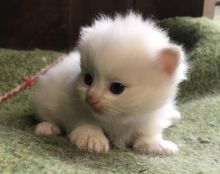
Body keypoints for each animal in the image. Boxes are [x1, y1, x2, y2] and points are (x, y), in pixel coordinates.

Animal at [32, 12, 187, 156]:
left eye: (117, 88)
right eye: (88, 79)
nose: (90, 98)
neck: (121, 117)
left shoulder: (149, 118)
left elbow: (146, 136)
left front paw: (156, 144)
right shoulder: (76, 105)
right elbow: (86, 120)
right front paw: (91, 137)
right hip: (44, 98)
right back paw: (47, 127)